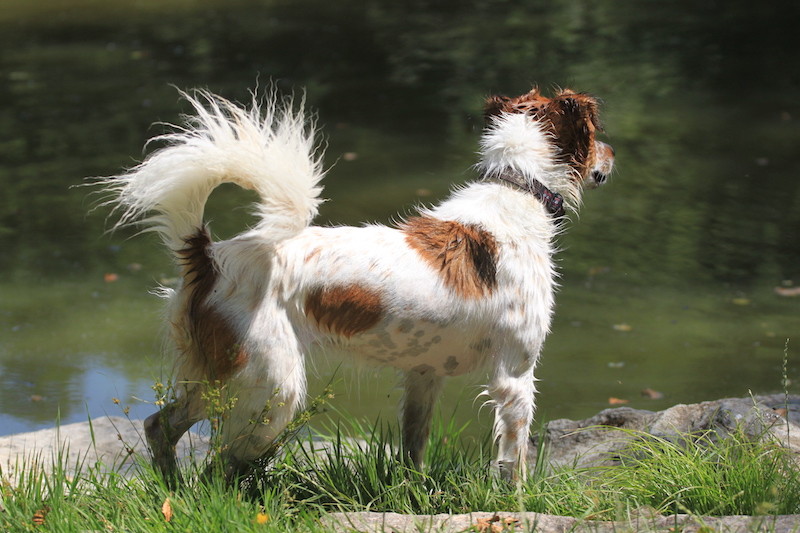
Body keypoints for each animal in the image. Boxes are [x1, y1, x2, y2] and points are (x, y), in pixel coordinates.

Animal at [98, 84, 612, 482]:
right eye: (597, 135)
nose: (613, 154)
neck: (518, 189)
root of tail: (210, 255)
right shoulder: (515, 376)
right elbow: (514, 461)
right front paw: (518, 504)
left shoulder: (422, 376)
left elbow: (413, 449)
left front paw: (414, 495)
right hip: (271, 388)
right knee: (219, 466)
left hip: (221, 378)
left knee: (160, 427)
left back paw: (172, 490)